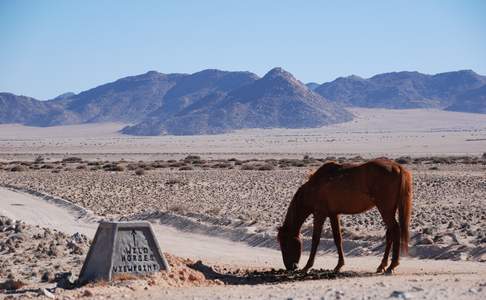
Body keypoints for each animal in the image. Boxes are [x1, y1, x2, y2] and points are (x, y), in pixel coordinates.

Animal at [280, 159, 412, 274]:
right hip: (389, 210)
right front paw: (339, 265)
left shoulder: (319, 214)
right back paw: (382, 265)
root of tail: (397, 167)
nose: (290, 267)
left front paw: (307, 267)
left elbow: (315, 239)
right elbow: (337, 238)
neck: (314, 186)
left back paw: (392, 266)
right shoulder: (333, 214)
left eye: (284, 244)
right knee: (390, 233)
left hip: (385, 210)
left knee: (395, 230)